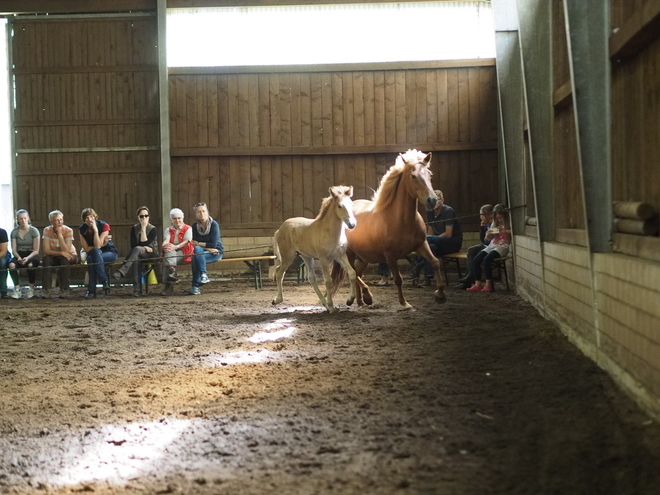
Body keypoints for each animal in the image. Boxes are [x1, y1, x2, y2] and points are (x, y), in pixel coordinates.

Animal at [272, 186, 358, 314]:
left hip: (306, 256)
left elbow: (352, 273)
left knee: (311, 278)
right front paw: (332, 307)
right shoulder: (323, 259)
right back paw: (277, 300)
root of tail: (280, 229)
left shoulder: (340, 256)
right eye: (339, 206)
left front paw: (350, 300)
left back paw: (325, 305)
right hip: (288, 256)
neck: (330, 232)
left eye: (351, 204)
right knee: (279, 272)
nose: (352, 224)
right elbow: (328, 281)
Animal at [332, 149, 446, 308]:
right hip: (349, 253)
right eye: (413, 176)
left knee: (357, 272)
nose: (432, 200)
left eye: (430, 174)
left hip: (364, 256)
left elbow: (435, 262)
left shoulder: (421, 245)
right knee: (352, 272)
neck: (402, 221)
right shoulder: (390, 255)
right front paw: (404, 303)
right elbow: (398, 279)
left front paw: (440, 295)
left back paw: (361, 301)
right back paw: (365, 297)